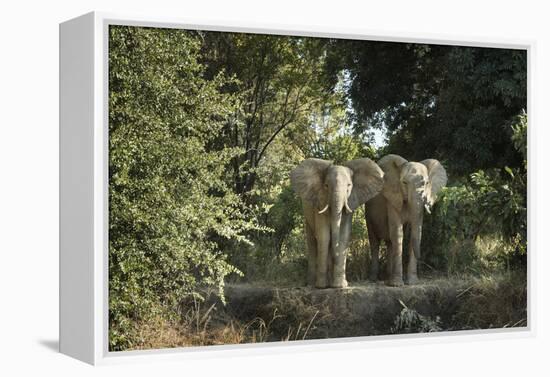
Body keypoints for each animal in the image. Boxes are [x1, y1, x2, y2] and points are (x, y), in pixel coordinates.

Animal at [292, 157, 386, 286]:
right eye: (326, 186)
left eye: (349, 185)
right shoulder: (320, 201)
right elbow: (324, 236)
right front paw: (322, 286)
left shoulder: (350, 201)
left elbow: (344, 235)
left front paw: (340, 286)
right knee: (312, 241)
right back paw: (312, 283)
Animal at [366, 153, 448, 284]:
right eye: (404, 182)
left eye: (426, 183)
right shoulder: (393, 199)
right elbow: (398, 233)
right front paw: (397, 284)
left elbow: (416, 231)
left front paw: (413, 283)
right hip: (368, 212)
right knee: (374, 242)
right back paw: (374, 279)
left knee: (390, 242)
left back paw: (388, 277)